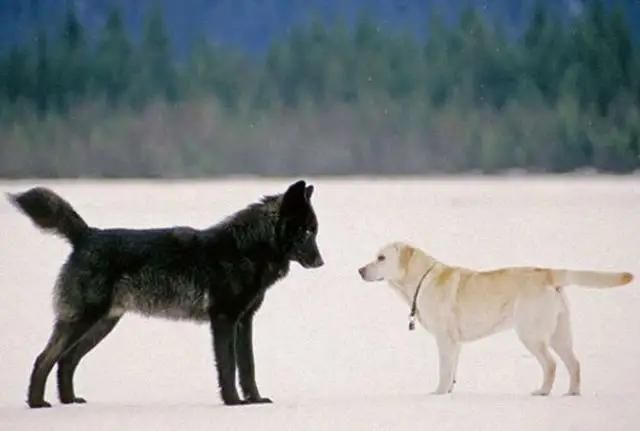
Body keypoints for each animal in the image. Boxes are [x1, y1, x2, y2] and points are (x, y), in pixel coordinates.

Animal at [11, 181, 324, 410]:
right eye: (306, 231)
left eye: (315, 230)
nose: (321, 262)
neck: (246, 249)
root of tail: (86, 234)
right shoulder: (223, 320)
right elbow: (228, 366)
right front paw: (233, 403)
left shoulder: (244, 321)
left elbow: (248, 366)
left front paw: (255, 400)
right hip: (84, 320)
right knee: (44, 358)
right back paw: (37, 404)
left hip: (102, 324)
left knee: (66, 360)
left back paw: (69, 402)